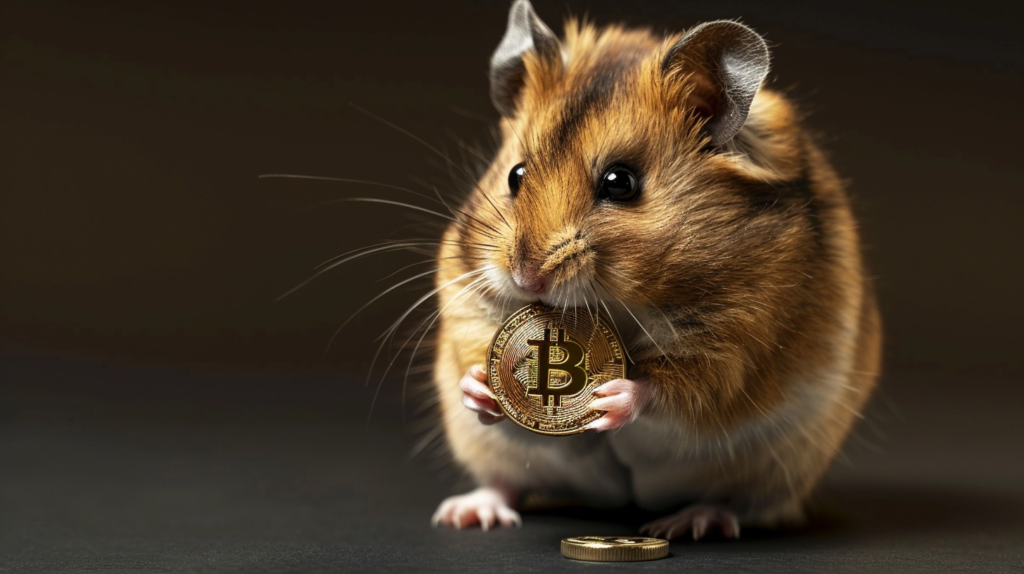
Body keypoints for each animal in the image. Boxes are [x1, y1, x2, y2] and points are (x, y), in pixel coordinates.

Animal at [429, 0, 881, 539]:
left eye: (620, 182)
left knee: (735, 500)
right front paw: (481, 387)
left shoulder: (740, 335)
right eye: (516, 175)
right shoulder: (463, 287)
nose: (525, 277)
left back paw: (690, 522)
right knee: (505, 482)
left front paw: (609, 398)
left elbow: (674, 386)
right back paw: (465, 513)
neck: (621, 302)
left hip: (783, 465)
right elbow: (473, 343)